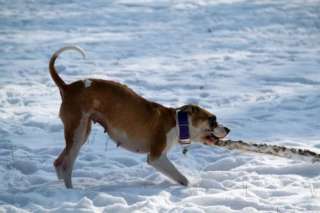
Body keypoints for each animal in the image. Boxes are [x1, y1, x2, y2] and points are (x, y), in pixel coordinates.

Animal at [49, 46, 230, 188]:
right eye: (213, 119)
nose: (228, 129)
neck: (178, 123)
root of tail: (67, 87)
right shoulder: (156, 158)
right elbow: (182, 178)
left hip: (81, 131)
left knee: (58, 163)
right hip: (78, 133)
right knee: (66, 165)